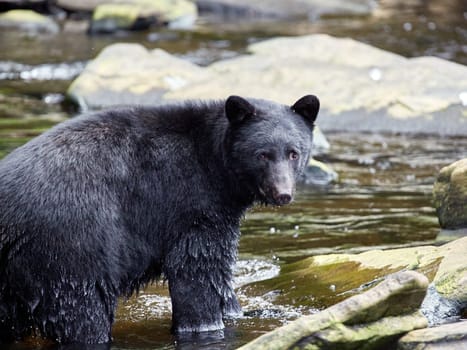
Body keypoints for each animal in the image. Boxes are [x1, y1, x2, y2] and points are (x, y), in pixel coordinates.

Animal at [0, 94, 318, 346]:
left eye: (293, 153)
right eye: (262, 154)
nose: (283, 193)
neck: (213, 165)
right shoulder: (191, 207)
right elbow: (198, 271)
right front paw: (204, 324)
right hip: (72, 244)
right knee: (83, 309)